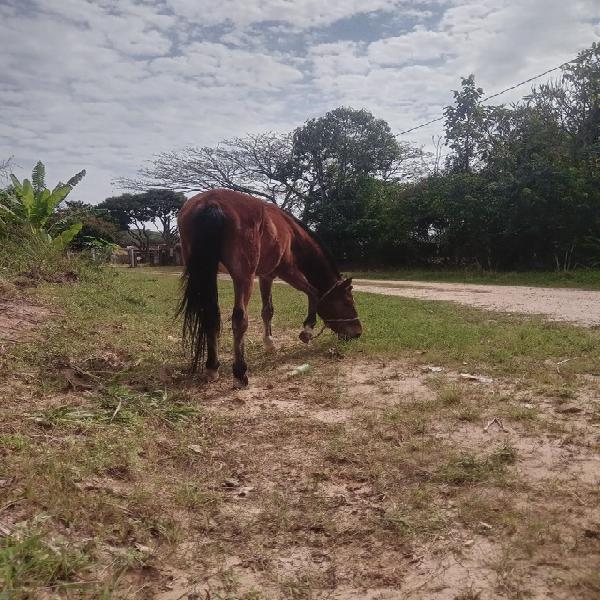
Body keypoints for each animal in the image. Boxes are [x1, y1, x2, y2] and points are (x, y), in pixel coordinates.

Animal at [176, 189, 364, 390]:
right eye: (348, 301)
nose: (357, 333)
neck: (291, 233)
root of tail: (211, 203)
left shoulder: (265, 275)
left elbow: (267, 310)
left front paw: (269, 344)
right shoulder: (285, 271)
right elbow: (312, 293)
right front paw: (306, 331)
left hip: (206, 273)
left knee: (211, 315)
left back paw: (212, 367)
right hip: (243, 277)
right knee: (239, 319)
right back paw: (240, 373)